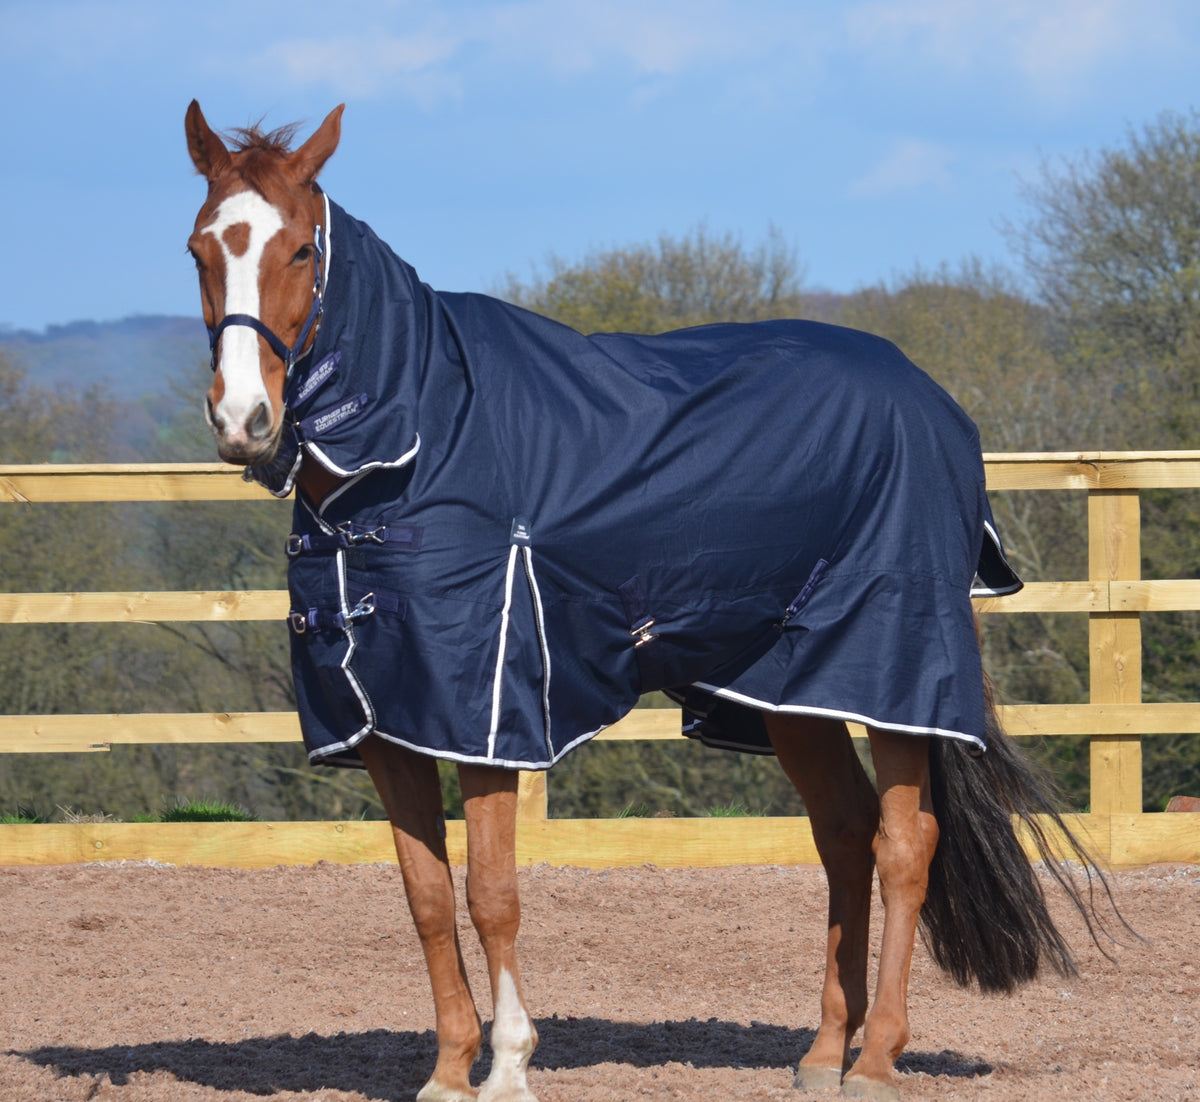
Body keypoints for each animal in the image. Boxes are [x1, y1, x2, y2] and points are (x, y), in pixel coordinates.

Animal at [185, 101, 1116, 1102]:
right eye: (200, 248)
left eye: (300, 250)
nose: (243, 421)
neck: (418, 442)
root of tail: (935, 403)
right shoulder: (389, 722)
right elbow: (427, 898)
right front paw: (448, 1068)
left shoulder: (488, 716)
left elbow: (491, 894)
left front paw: (509, 1065)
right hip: (792, 689)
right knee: (845, 834)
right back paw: (823, 1051)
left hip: (893, 671)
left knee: (906, 844)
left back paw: (874, 1060)